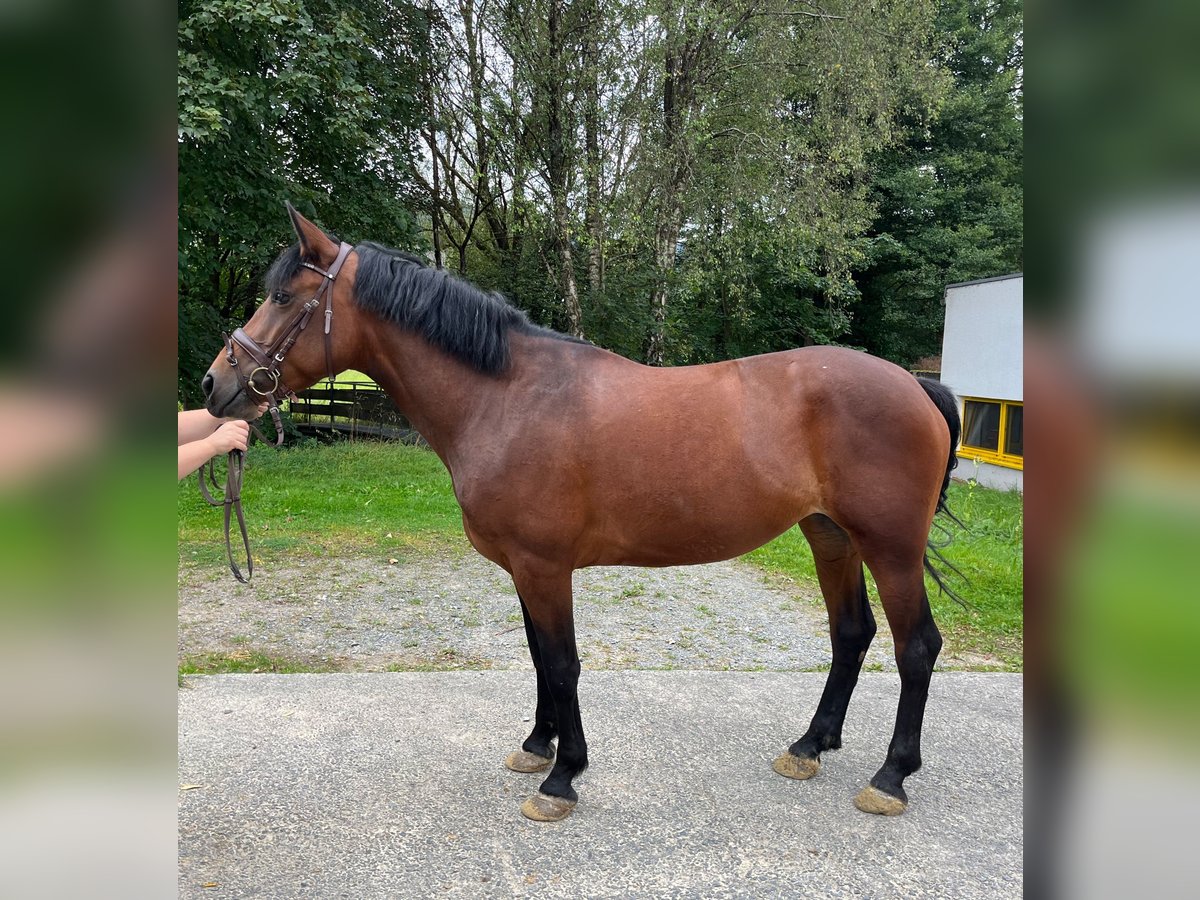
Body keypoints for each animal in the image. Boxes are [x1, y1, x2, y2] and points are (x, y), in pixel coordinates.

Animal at [201, 204, 960, 825]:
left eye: (282, 295)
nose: (215, 384)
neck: (507, 397)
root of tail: (915, 385)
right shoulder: (523, 568)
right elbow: (540, 656)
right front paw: (539, 746)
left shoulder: (545, 565)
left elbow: (563, 663)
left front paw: (562, 779)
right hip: (830, 535)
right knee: (851, 634)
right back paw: (809, 745)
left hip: (890, 547)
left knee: (916, 647)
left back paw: (890, 777)